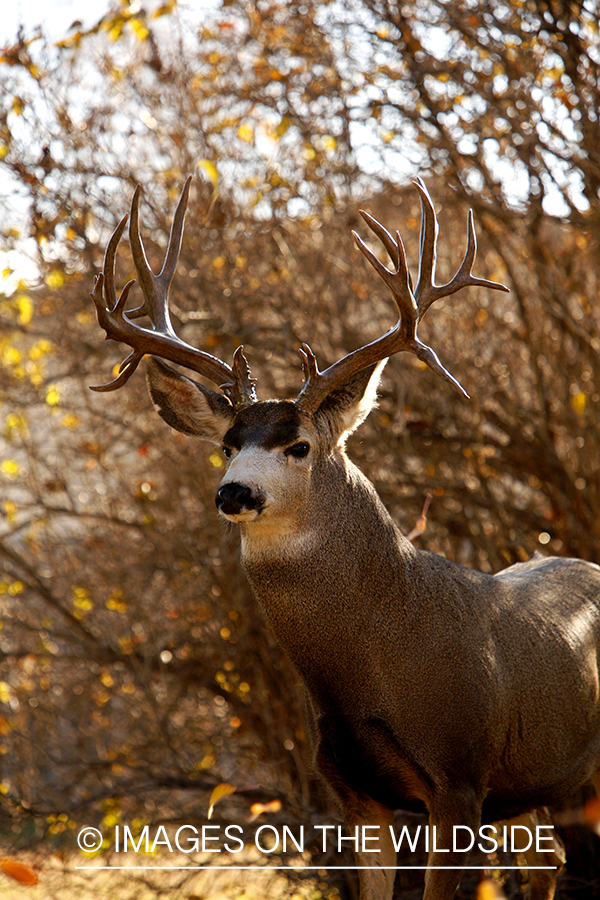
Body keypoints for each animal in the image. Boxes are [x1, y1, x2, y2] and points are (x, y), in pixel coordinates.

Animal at [90, 176, 600, 900]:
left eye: (299, 445)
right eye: (226, 446)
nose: (234, 493)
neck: (379, 656)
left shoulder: (460, 775)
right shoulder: (354, 791)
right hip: (541, 786)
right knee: (551, 863)